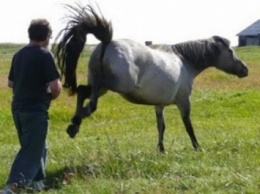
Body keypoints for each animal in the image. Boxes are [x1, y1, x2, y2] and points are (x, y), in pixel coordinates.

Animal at [53, 2, 249, 152]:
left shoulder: (159, 104)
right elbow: (188, 124)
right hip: (115, 85)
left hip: (102, 86)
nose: (245, 70)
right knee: (89, 97)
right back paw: (80, 117)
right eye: (231, 51)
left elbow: (161, 126)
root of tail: (107, 43)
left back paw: (74, 125)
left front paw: (161, 149)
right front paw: (197, 147)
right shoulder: (184, 100)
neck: (185, 61)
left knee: (82, 91)